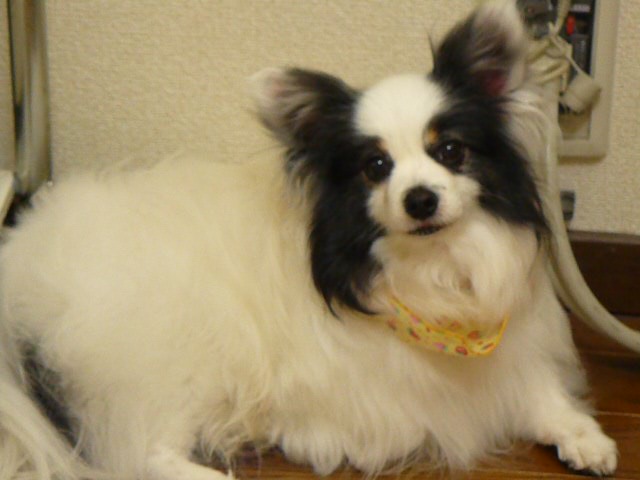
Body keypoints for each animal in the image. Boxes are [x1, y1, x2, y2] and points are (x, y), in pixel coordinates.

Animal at [0, 1, 618, 479]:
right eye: (375, 167)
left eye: (450, 151)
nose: (419, 199)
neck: (433, 275)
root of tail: (21, 268)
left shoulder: (512, 349)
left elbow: (539, 391)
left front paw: (582, 435)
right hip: (177, 349)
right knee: (141, 452)